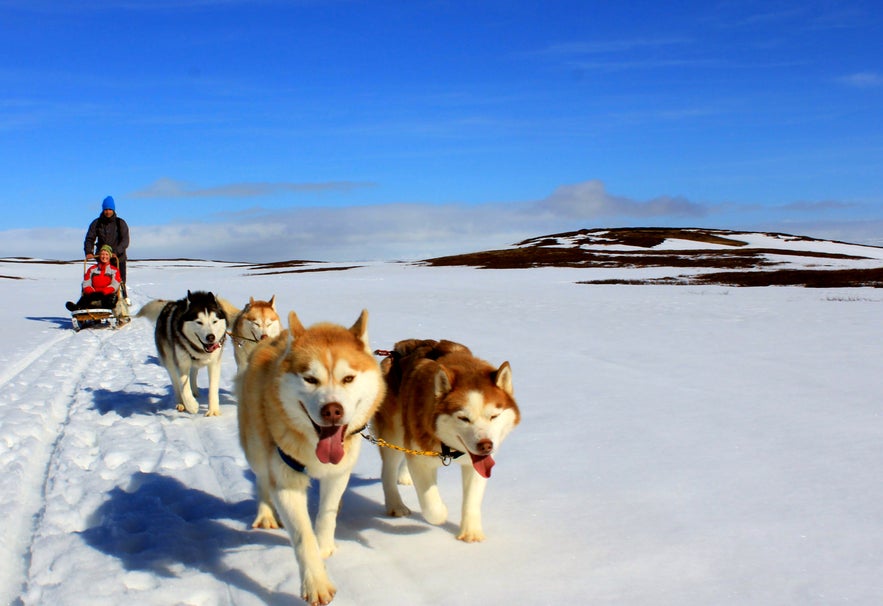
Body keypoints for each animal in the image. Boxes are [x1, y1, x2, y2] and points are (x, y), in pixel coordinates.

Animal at [136, 290, 230, 418]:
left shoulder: (214, 363)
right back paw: (181, 403)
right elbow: (184, 388)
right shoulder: (181, 364)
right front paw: (192, 406)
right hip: (170, 363)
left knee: (193, 373)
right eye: (199, 322)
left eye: (214, 321)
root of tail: (168, 305)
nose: (211, 337)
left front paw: (213, 411)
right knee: (176, 384)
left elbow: (213, 388)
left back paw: (194, 391)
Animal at [237, 312, 386, 604]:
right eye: (310, 379)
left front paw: (324, 546)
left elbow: (326, 515)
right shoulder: (287, 482)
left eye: (348, 378)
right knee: (262, 479)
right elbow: (302, 536)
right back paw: (266, 513)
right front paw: (316, 582)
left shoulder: (338, 474)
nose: (332, 410)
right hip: (257, 448)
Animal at [372, 340, 516, 544]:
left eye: (494, 416)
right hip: (393, 432)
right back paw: (395, 504)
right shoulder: (420, 459)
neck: (449, 447)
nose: (486, 445)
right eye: (463, 418)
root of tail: (398, 348)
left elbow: (472, 499)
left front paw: (471, 533)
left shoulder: (475, 464)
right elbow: (431, 505)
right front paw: (441, 513)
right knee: (388, 471)